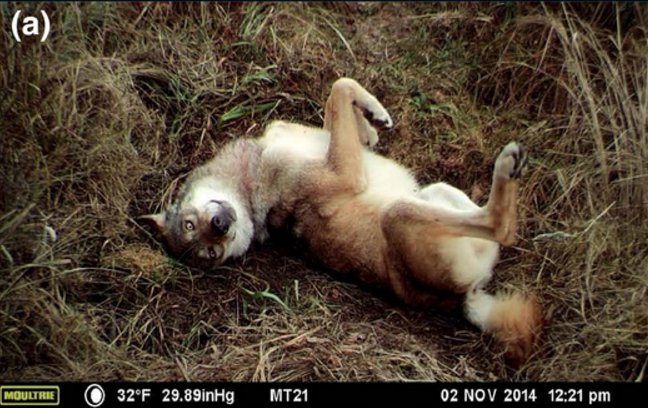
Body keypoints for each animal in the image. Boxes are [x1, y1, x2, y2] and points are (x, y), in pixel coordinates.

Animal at [141, 78, 543, 365]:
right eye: (207, 251)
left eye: (191, 226)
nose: (220, 229)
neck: (251, 178)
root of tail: (463, 300)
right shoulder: (346, 174)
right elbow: (339, 90)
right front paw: (370, 119)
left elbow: (338, 94)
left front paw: (372, 122)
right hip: (401, 213)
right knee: (502, 226)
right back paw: (507, 167)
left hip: (435, 191)